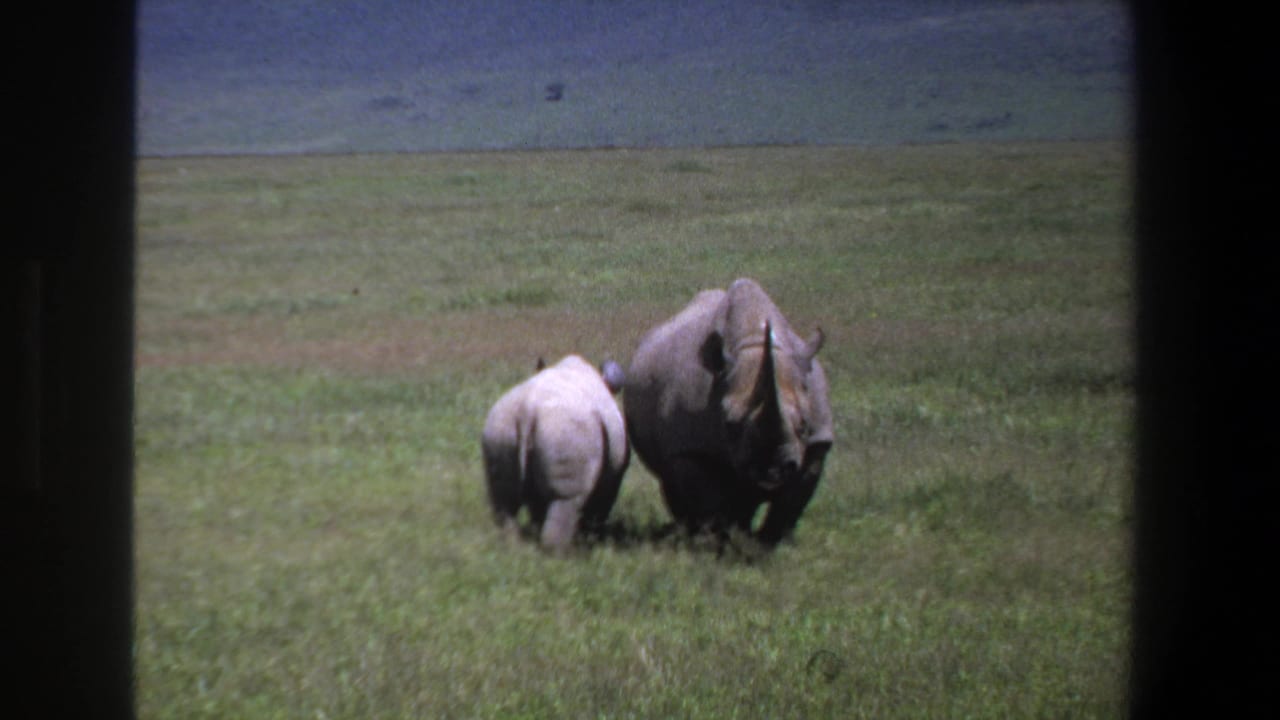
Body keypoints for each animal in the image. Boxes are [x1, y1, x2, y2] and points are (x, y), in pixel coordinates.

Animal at [481, 355, 630, 551]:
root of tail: (527, 409)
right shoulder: (613, 477)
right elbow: (601, 504)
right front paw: (591, 537)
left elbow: (537, 505)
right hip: (565, 430)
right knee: (565, 500)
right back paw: (560, 553)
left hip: (501, 427)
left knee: (504, 498)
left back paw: (510, 546)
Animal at [624, 278, 833, 545]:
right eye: (729, 425)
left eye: (804, 425)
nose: (772, 471)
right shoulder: (690, 448)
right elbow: (710, 503)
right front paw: (718, 543)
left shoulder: (818, 442)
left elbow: (790, 504)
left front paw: (769, 545)